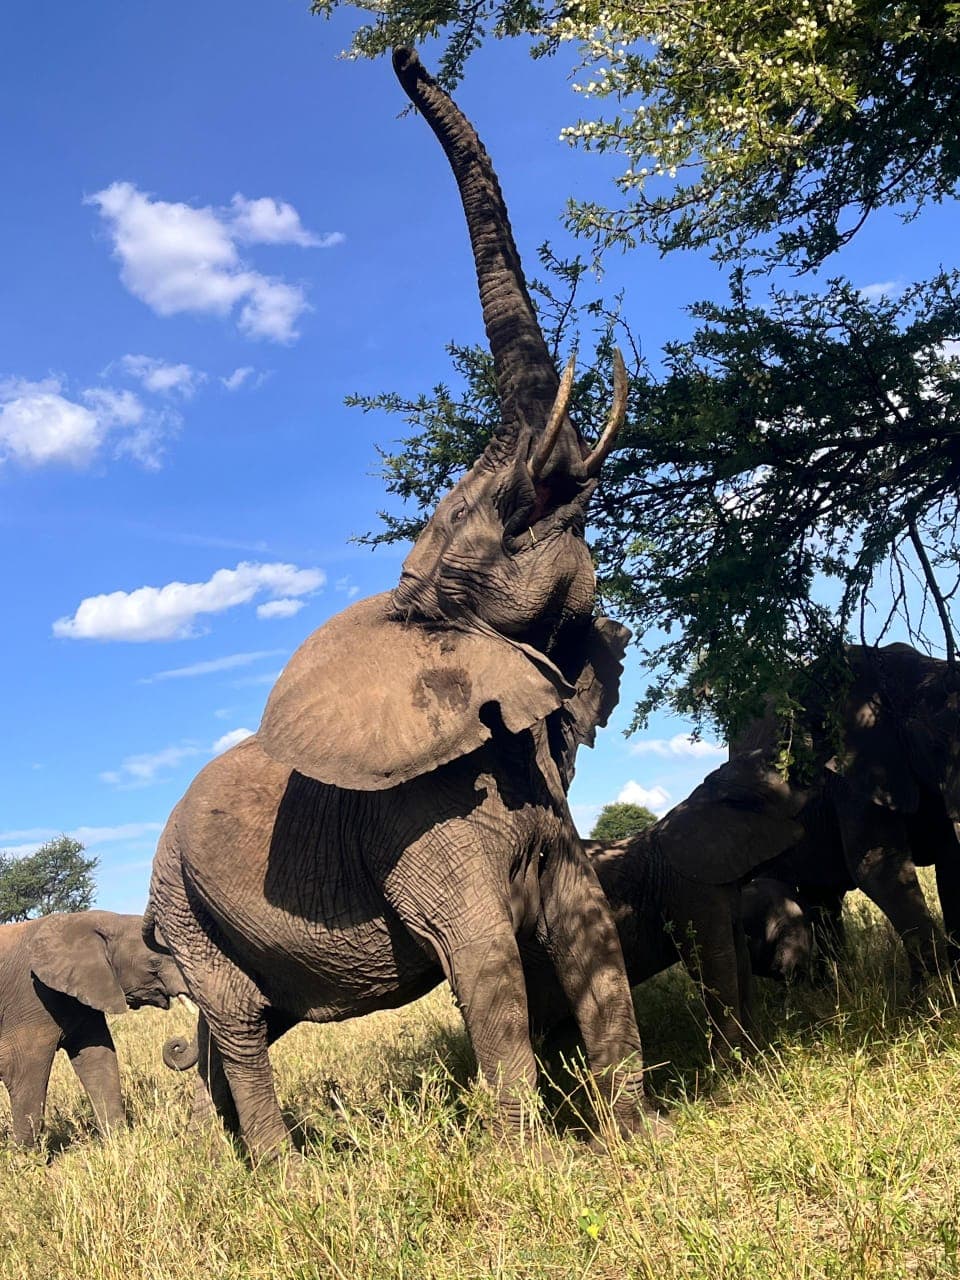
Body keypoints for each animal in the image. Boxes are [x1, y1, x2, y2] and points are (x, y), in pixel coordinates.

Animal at [0, 910, 188, 1147]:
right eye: (154, 962)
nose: (177, 1045)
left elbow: (98, 1058)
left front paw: (118, 1142)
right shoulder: (31, 999)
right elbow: (23, 1070)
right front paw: (24, 1155)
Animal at [144, 47, 655, 1167]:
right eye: (478, 521)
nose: (405, 54)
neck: (412, 610)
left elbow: (593, 934)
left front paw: (636, 1147)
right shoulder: (413, 819)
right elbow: (487, 963)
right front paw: (527, 1170)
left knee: (231, 1032)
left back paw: (226, 1165)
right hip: (183, 907)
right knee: (236, 1026)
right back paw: (279, 1180)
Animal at [735, 642, 960, 985]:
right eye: (934, 743)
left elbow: (950, 862)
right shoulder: (851, 771)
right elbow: (877, 867)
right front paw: (934, 991)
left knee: (824, 899)